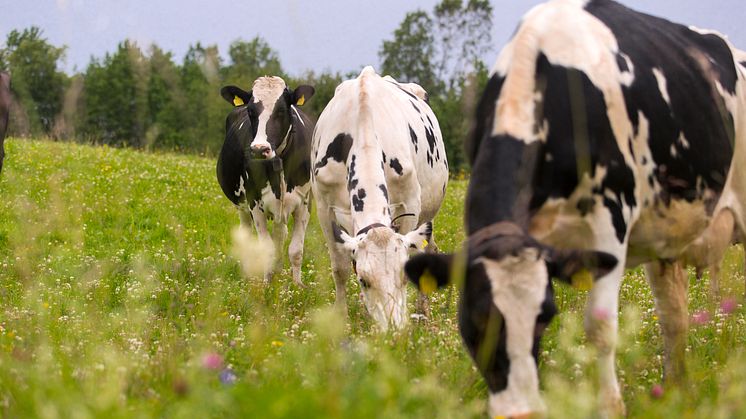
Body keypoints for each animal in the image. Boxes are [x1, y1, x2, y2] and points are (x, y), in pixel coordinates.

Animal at [215, 76, 314, 286]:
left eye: (282, 110)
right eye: (251, 111)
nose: (260, 149)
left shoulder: (305, 202)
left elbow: (296, 249)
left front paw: (297, 285)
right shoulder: (254, 202)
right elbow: (266, 248)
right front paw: (267, 284)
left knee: (280, 234)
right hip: (242, 205)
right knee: (246, 232)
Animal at [310, 66, 444, 332]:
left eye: (403, 276)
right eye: (363, 280)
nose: (393, 329)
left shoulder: (410, 204)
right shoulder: (323, 207)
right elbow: (340, 267)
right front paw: (342, 318)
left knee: (426, 250)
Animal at [404, 0, 744, 416]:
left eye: (544, 316)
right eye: (477, 316)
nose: (521, 411)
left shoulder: (611, 221)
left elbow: (600, 328)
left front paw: (610, 407)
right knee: (673, 314)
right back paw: (675, 390)